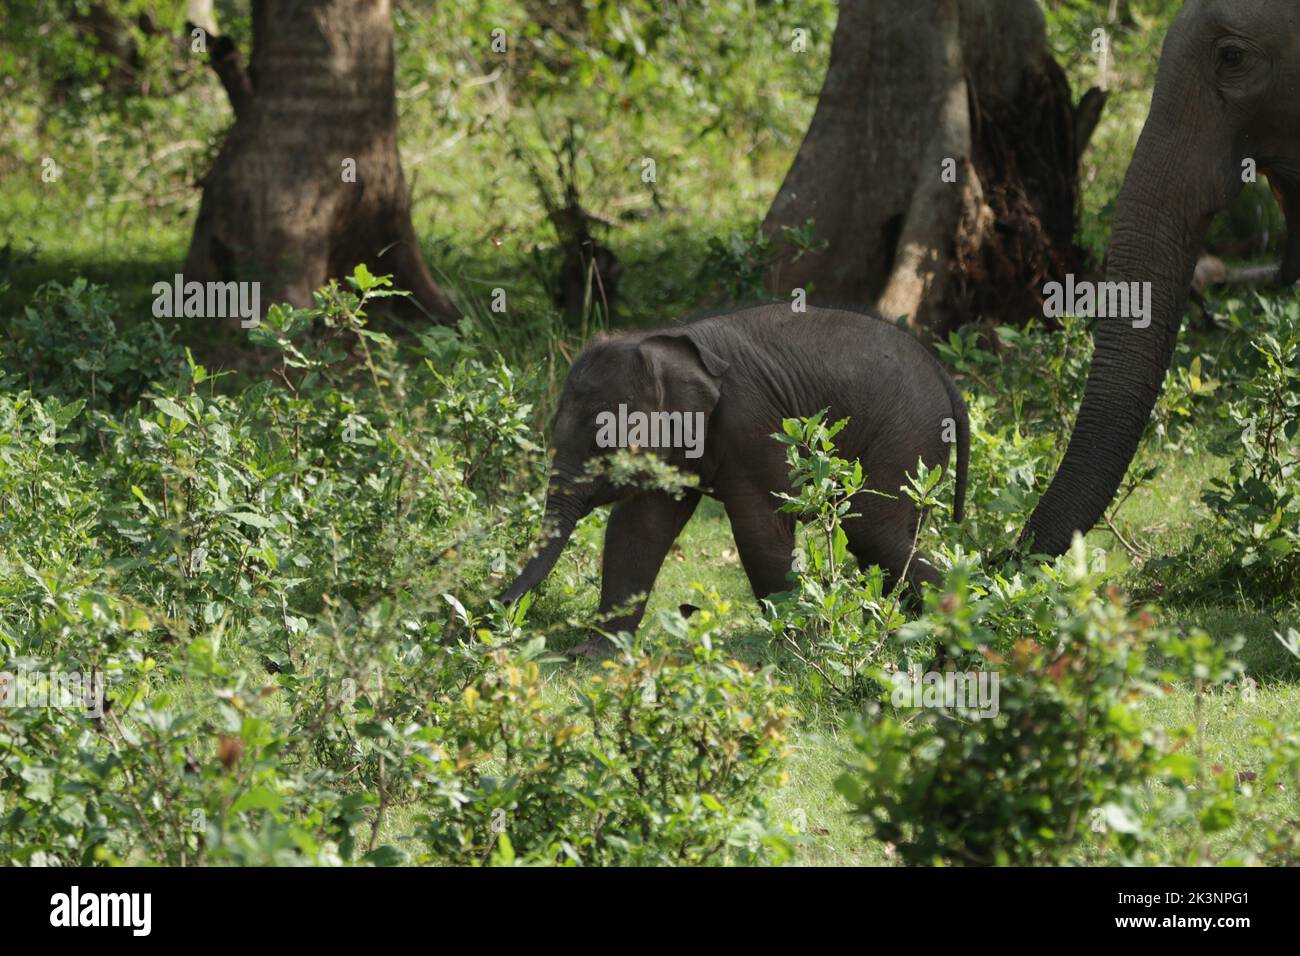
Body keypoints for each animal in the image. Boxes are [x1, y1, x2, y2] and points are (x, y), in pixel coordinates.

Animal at [501, 304, 970, 657]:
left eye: (605, 446)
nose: (499, 607)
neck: (665, 340)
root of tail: (943, 373)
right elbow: (637, 529)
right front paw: (594, 656)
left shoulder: (753, 422)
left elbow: (760, 527)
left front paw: (796, 648)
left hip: (907, 434)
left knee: (873, 532)